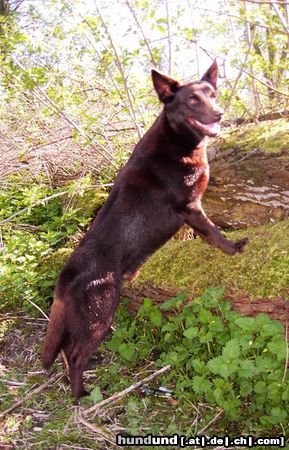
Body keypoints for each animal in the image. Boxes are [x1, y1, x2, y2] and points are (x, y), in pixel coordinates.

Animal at [41, 59, 246, 398]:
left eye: (213, 95)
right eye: (193, 100)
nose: (219, 114)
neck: (178, 144)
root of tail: (64, 279)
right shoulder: (190, 206)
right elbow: (212, 231)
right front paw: (233, 247)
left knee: (67, 353)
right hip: (100, 315)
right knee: (75, 355)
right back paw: (82, 394)